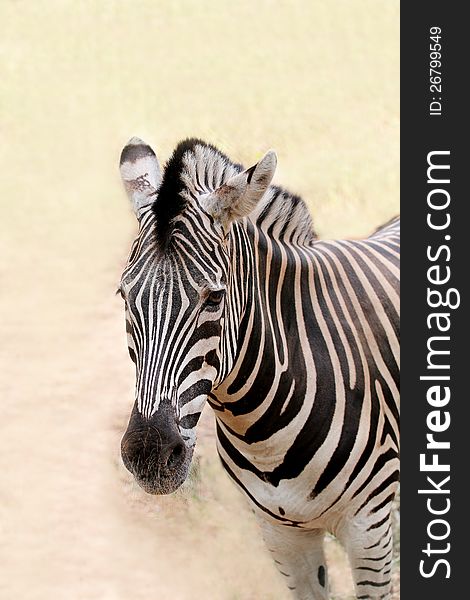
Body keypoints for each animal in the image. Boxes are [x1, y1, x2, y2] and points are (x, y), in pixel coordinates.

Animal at [118, 137, 400, 600]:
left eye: (214, 298)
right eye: (124, 297)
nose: (149, 455)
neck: (262, 432)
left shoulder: (369, 530)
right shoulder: (280, 535)